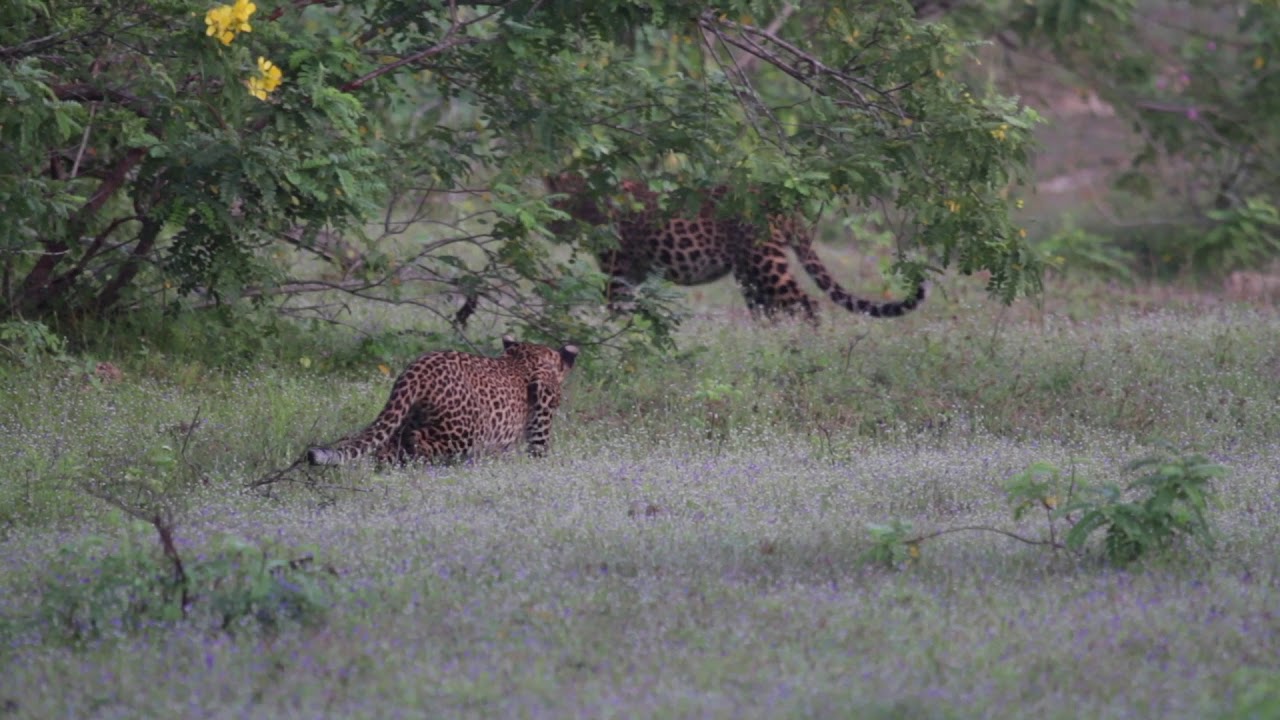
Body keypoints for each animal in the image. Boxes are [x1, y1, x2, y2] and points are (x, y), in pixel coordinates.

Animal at [306, 335, 579, 467]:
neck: (527, 355)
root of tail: (417, 369)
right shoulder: (542, 413)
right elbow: (538, 449)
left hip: (406, 416)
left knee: (385, 446)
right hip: (463, 432)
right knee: (418, 442)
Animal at [546, 173, 927, 320]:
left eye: (569, 201)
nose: (553, 225)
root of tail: (786, 202)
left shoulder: (617, 268)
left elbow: (614, 306)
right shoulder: (632, 273)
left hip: (763, 261)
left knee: (805, 304)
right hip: (750, 273)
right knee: (771, 311)